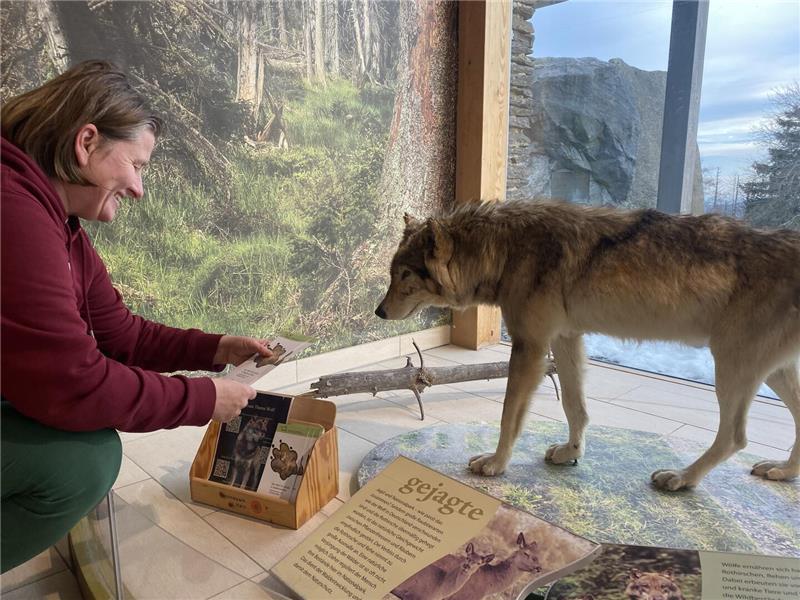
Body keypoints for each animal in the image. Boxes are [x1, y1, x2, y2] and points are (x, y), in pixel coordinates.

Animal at [375, 200, 800, 491]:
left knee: (734, 437)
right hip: (770, 373)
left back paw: (681, 477)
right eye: (392, 274)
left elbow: (510, 416)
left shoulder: (530, 346)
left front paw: (496, 464)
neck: (506, 250)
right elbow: (574, 406)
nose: (378, 311)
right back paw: (781, 470)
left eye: (404, 274)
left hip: (731, 367)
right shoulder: (566, 339)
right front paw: (572, 453)